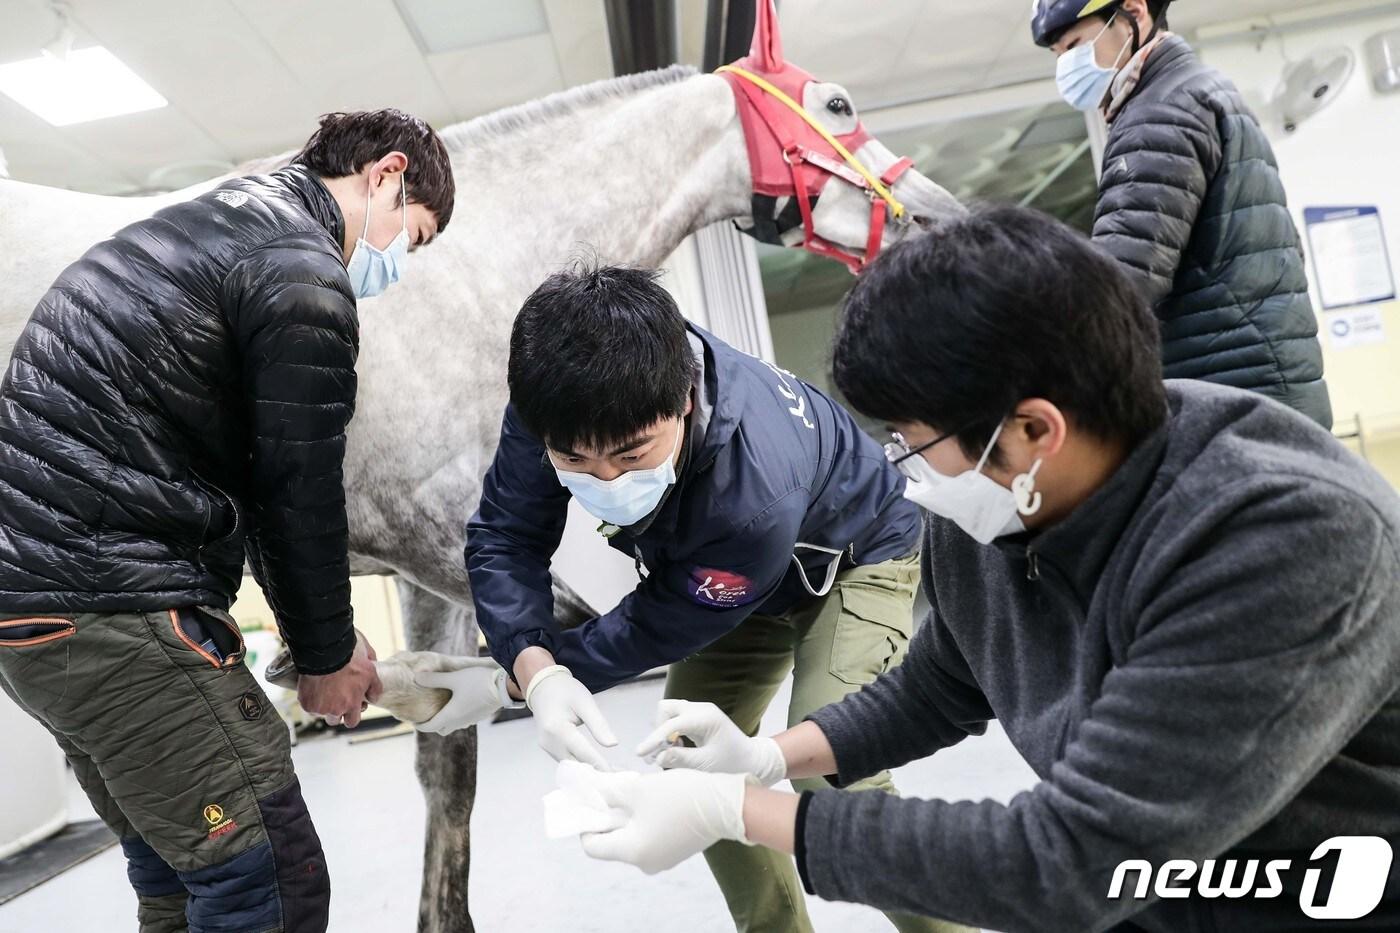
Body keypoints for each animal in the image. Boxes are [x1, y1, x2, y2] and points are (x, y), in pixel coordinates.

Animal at [0, 56, 963, 924]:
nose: (943, 217)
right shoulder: (413, 529)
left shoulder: (430, 566)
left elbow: (450, 762)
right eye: (836, 105)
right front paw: (325, 677)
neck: (458, 281)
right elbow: (556, 631)